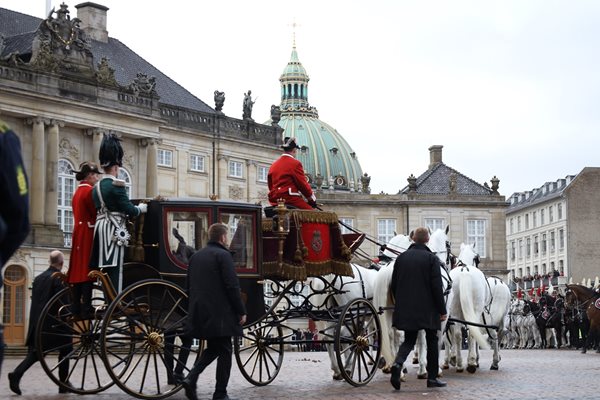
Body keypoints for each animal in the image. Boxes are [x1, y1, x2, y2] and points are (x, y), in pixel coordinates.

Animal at [442, 244, 490, 376]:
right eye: (478, 259)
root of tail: (465, 271)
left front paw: (453, 358)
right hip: (474, 311)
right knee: (471, 332)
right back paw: (470, 363)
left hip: (455, 310)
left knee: (458, 335)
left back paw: (459, 363)